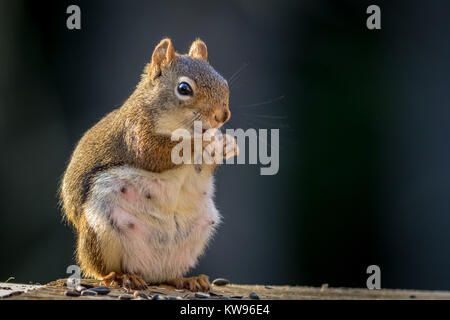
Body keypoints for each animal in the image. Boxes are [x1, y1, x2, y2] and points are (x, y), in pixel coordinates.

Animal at [59, 38, 239, 292]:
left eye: (223, 83)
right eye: (184, 89)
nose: (222, 116)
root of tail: (149, 271)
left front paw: (227, 144)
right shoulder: (135, 133)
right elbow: (155, 154)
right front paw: (201, 141)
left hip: (196, 235)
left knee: (169, 275)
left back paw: (187, 279)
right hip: (100, 230)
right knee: (101, 269)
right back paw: (121, 277)